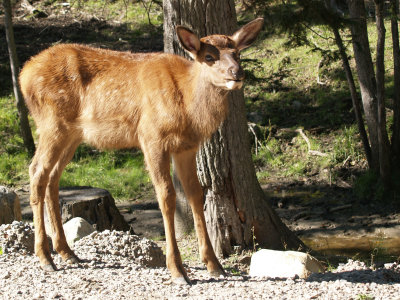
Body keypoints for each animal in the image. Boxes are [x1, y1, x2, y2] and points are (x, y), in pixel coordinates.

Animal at [18, 17, 264, 284]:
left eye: (237, 53)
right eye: (209, 56)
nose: (237, 73)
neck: (187, 107)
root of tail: (23, 75)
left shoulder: (187, 147)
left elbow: (196, 195)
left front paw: (214, 265)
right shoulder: (152, 137)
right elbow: (166, 196)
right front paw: (177, 270)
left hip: (72, 135)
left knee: (52, 178)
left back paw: (67, 253)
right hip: (52, 123)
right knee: (36, 172)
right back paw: (45, 258)